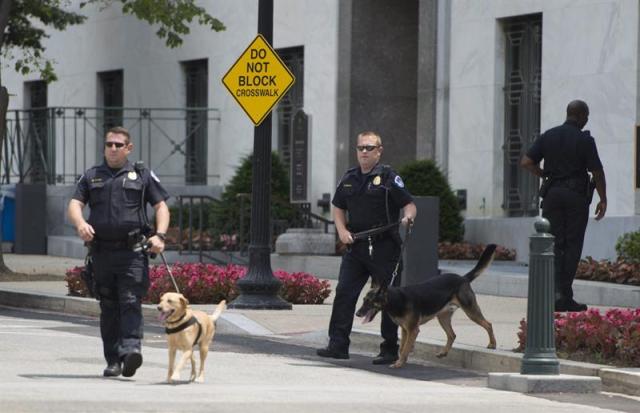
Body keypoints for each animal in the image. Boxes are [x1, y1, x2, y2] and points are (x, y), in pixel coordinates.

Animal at [358, 243, 498, 366]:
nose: (357, 313)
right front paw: (401, 361)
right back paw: (443, 353)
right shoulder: (405, 330)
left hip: (471, 311)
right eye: (364, 300)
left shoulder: (413, 330)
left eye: (369, 301)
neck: (396, 299)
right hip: (443, 318)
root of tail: (463, 278)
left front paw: (399, 363)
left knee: (488, 324)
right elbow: (402, 347)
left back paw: (492, 344)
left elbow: (405, 348)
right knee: (452, 335)